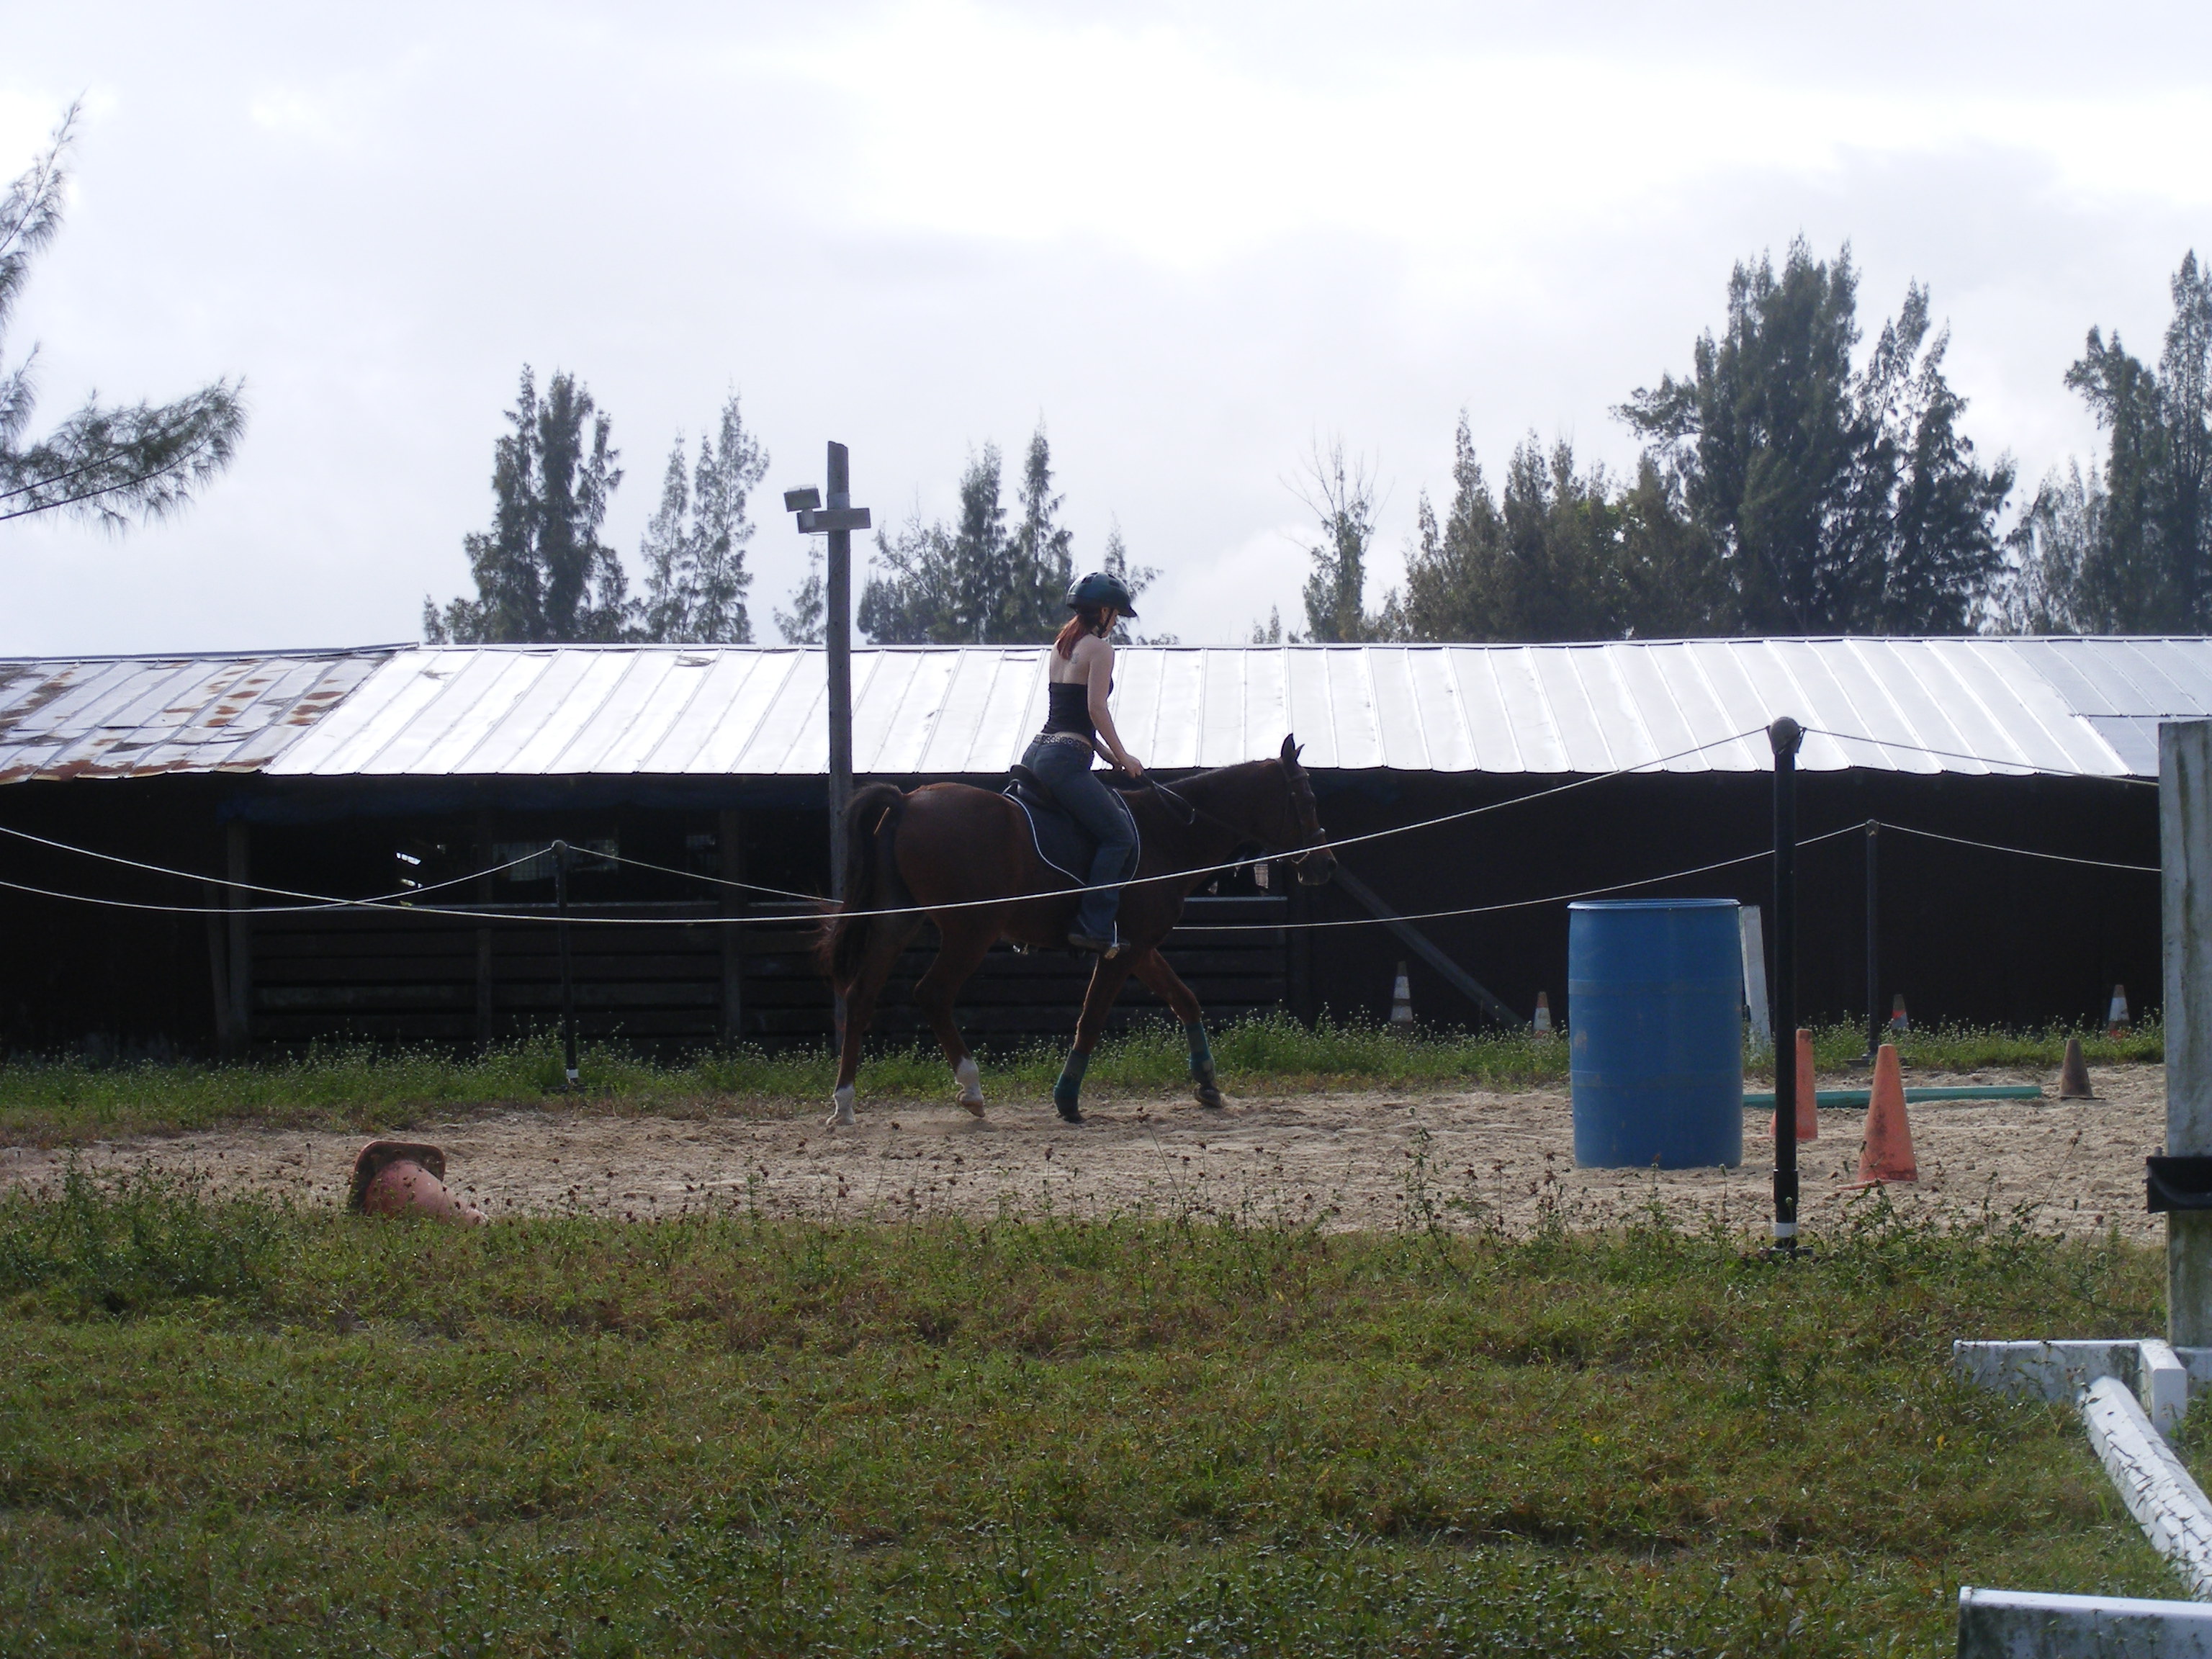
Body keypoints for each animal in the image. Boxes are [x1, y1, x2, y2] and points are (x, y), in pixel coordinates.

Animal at [817, 734, 1336, 1126]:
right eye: (1308, 801)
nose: (1326, 866)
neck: (1168, 832)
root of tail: (907, 801)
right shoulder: (1123, 951)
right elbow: (1091, 1018)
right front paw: (1067, 1098)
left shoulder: (1137, 947)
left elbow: (1185, 999)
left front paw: (1207, 1083)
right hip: (972, 929)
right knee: (932, 994)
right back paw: (971, 1088)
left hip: (898, 919)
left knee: (861, 996)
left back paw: (844, 1103)